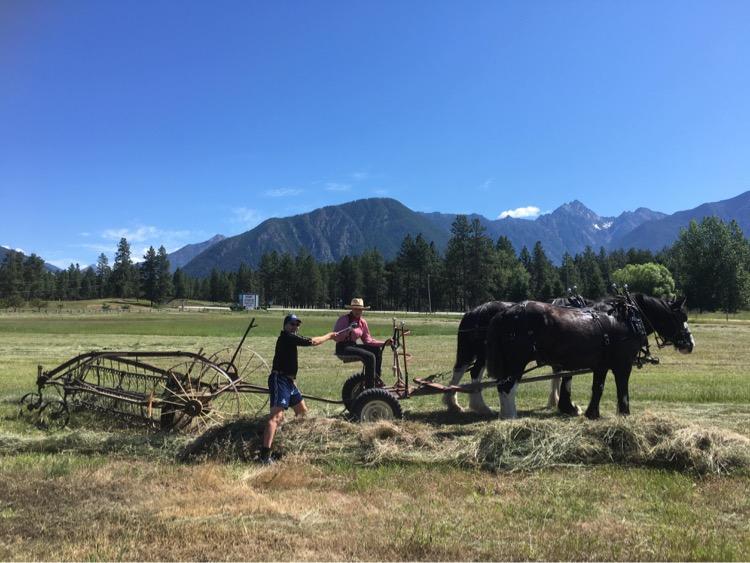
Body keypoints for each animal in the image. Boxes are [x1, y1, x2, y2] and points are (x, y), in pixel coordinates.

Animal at [484, 296, 696, 418]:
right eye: (682, 317)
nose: (690, 344)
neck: (628, 318)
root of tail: (504, 313)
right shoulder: (623, 364)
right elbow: (622, 389)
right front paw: (625, 414)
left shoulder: (601, 365)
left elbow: (598, 388)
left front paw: (592, 413)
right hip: (516, 362)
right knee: (507, 387)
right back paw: (510, 417)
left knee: (503, 386)